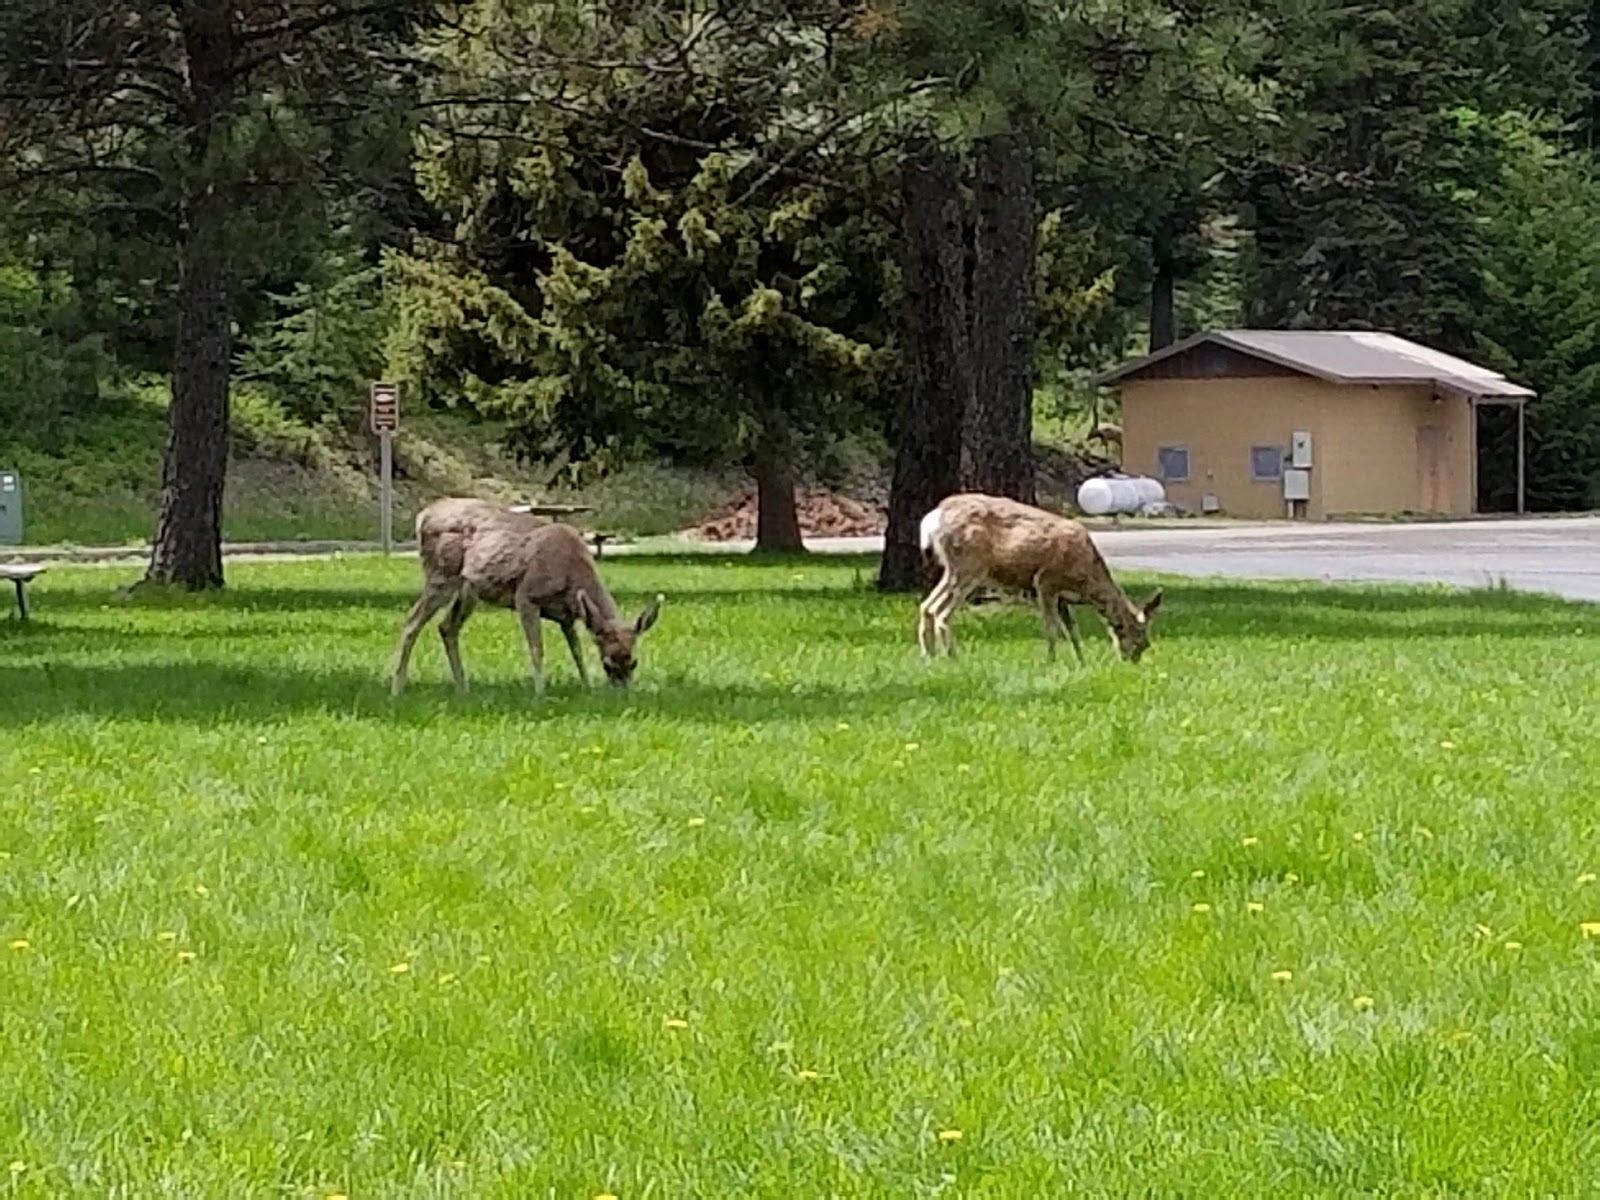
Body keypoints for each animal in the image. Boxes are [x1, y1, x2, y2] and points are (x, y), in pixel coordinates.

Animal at [388, 499, 662, 700]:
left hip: (469, 589)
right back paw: (396, 689)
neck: (572, 573)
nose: (623, 693)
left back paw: (462, 688)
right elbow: (537, 648)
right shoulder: (526, 596)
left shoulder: (567, 616)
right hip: (441, 574)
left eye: (634, 662)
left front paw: (587, 686)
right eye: (607, 664)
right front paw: (540, 692)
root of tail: (423, 514)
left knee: (447, 626)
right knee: (412, 621)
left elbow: (576, 651)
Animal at [915, 489, 1164, 668]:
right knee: (941, 612)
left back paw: (930, 657)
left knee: (926, 606)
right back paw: (953, 659)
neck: (1086, 579)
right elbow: (1051, 627)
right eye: (1142, 642)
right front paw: (1050, 661)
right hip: (969, 567)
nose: (1131, 663)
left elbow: (1072, 630)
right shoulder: (1045, 582)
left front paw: (1081, 662)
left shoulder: (1062, 597)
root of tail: (933, 518)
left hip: (953, 568)